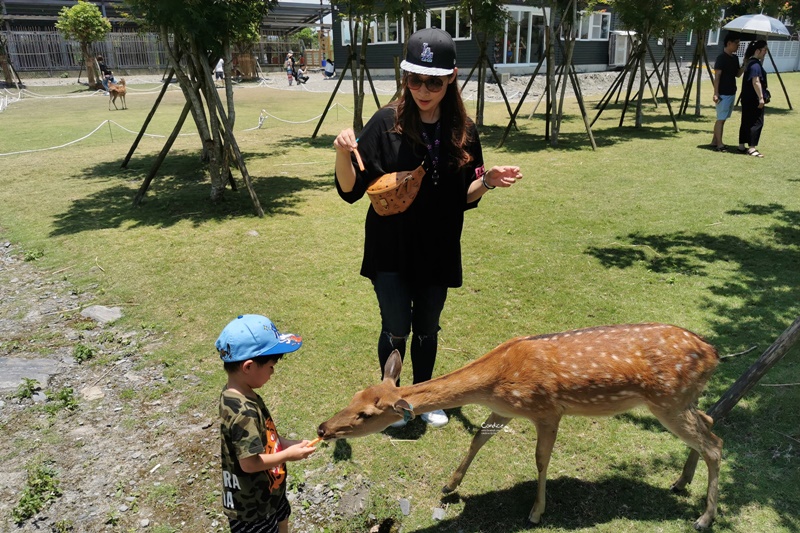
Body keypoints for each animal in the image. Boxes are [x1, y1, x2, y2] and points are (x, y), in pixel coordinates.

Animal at [318, 322, 724, 528]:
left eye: (366, 415)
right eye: (354, 395)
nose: (323, 428)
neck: (496, 380)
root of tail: (714, 353)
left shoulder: (547, 410)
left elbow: (541, 459)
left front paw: (536, 512)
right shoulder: (505, 409)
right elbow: (478, 438)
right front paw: (450, 486)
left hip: (668, 400)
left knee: (715, 444)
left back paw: (704, 518)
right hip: (682, 401)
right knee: (709, 423)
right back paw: (680, 482)